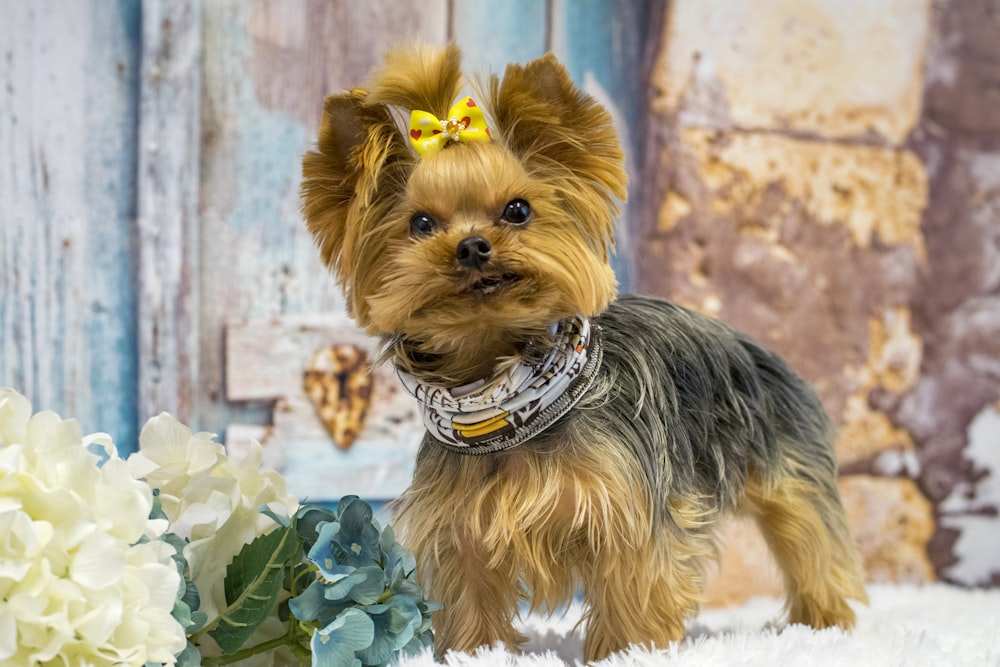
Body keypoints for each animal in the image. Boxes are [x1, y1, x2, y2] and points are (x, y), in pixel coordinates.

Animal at [298, 43, 868, 664]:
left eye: (518, 210)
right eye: (420, 223)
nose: (472, 247)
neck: (507, 402)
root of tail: (756, 346)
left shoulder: (630, 511)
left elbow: (634, 590)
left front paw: (625, 651)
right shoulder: (460, 525)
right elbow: (472, 602)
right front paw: (477, 651)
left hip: (786, 464)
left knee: (811, 539)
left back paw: (824, 623)